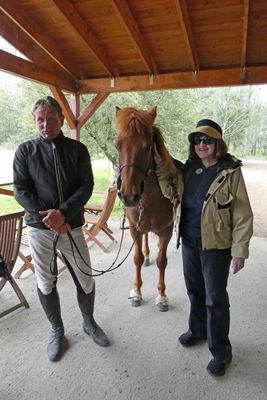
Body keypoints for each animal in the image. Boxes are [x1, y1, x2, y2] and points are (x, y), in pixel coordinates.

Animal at [114, 106, 178, 312]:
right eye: (118, 145)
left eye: (148, 146)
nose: (128, 196)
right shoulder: (135, 229)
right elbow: (137, 258)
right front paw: (136, 292)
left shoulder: (166, 231)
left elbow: (162, 261)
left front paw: (162, 296)